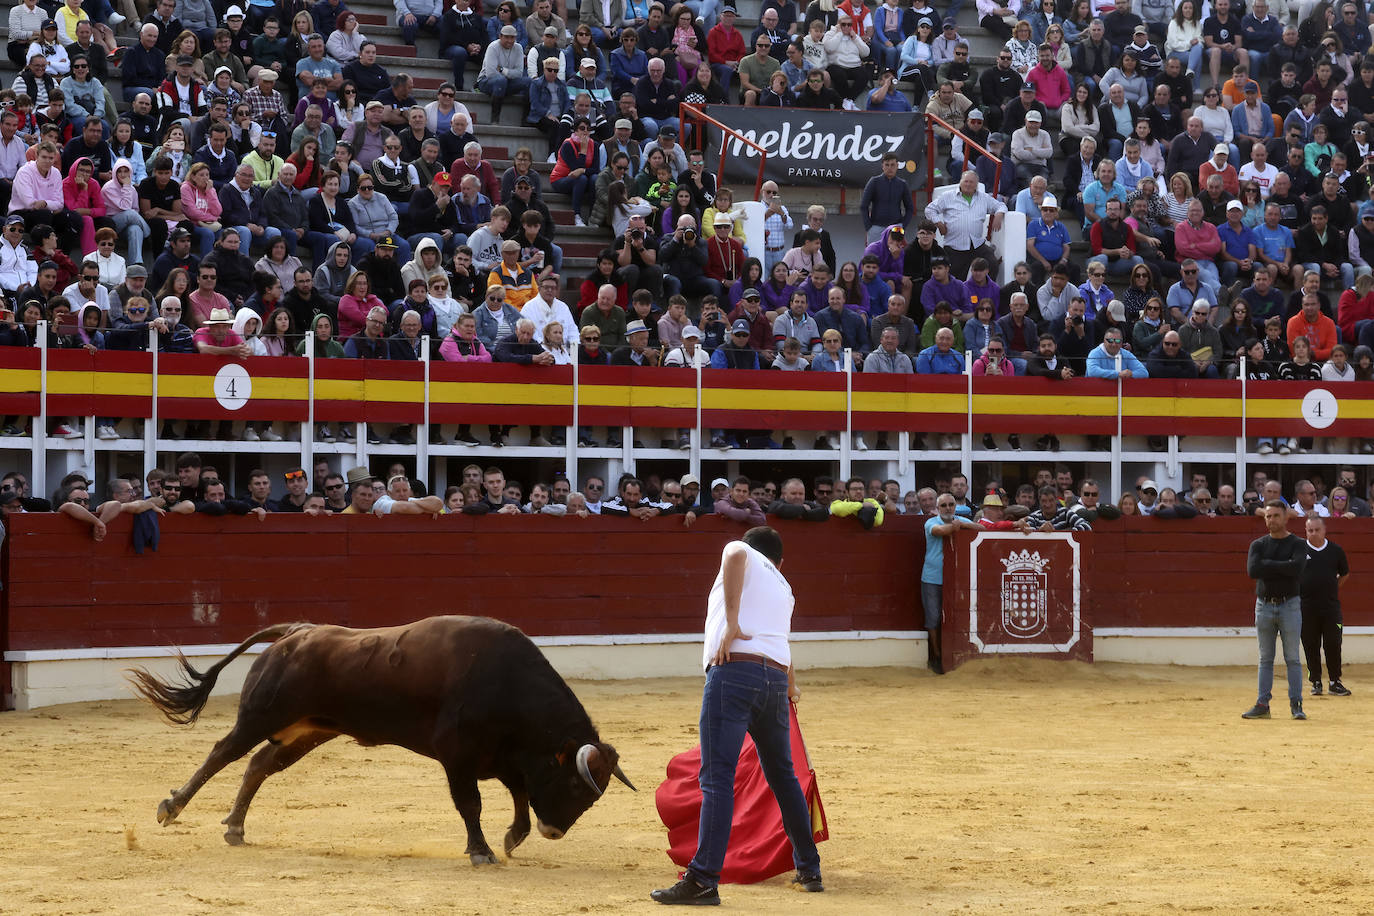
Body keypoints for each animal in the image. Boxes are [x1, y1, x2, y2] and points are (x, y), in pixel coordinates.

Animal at [129, 615, 632, 867]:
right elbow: (471, 804)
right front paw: (482, 851)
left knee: (258, 764)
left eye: (592, 797)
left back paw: (235, 827)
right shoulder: (459, 757)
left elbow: (520, 797)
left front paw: (512, 838)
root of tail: (297, 632)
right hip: (262, 714)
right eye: (576, 785)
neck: (508, 685)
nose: (556, 832)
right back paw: (171, 807)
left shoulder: (506, 758)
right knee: (223, 753)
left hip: (308, 730)